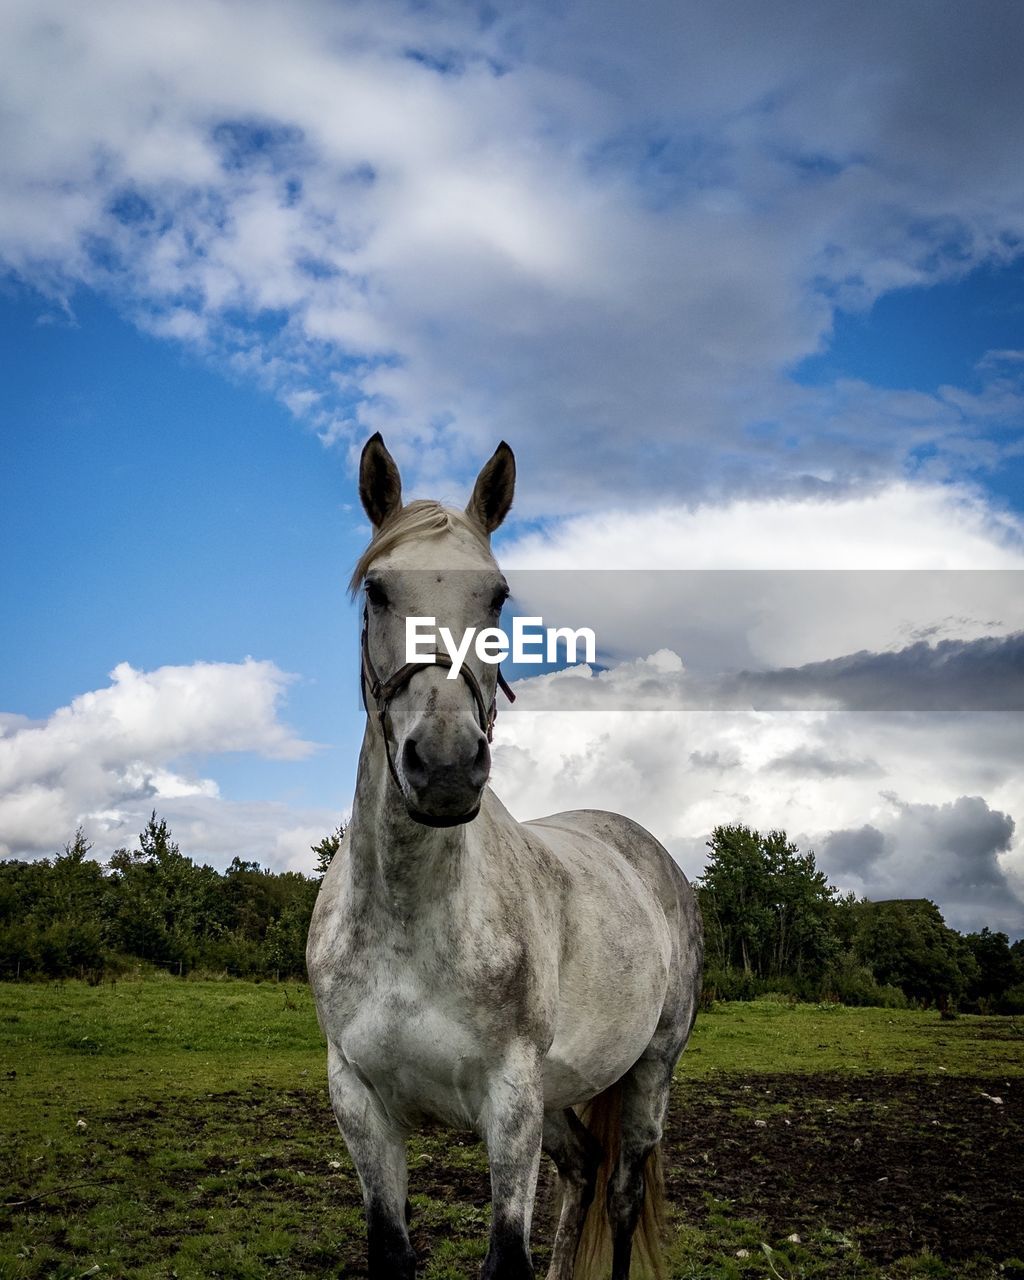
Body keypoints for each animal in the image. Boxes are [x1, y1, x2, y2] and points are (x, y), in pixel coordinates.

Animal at [304, 435, 706, 1274]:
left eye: (497, 598)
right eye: (378, 592)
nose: (447, 767)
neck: (411, 922)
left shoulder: (511, 1101)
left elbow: (506, 1259)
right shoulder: (360, 1103)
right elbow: (392, 1250)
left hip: (650, 1072)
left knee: (621, 1193)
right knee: (583, 1170)